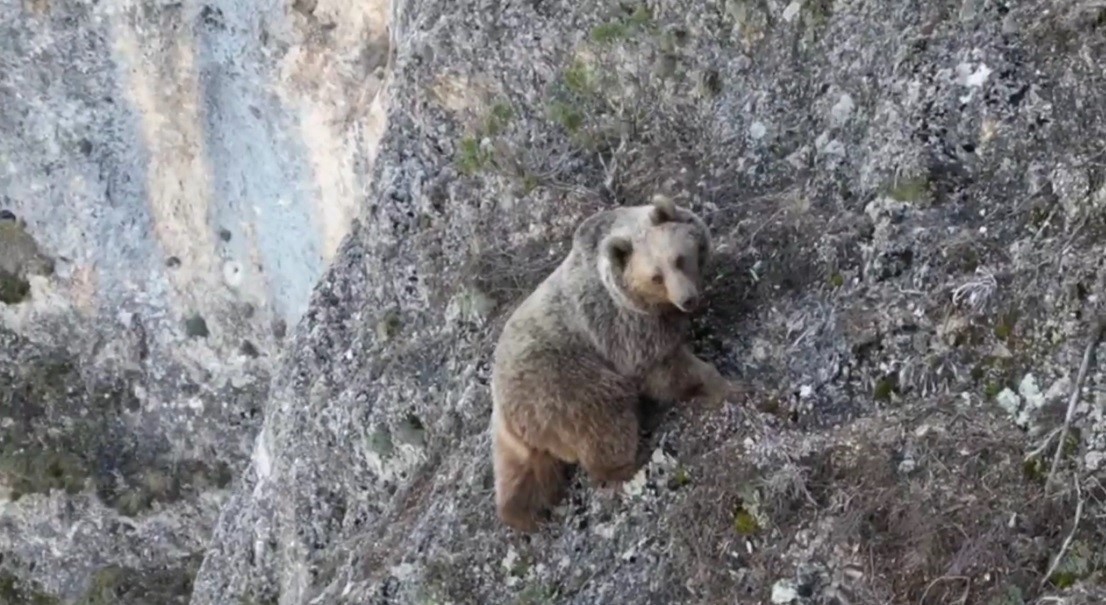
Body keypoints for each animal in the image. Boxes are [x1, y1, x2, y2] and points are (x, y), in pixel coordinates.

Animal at [486, 195, 738, 535]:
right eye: (655, 276)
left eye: (678, 259)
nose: (687, 299)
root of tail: (504, 408)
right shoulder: (625, 331)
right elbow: (668, 370)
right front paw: (724, 385)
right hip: (565, 385)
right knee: (604, 420)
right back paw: (632, 457)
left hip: (516, 438)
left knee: (521, 474)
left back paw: (522, 512)